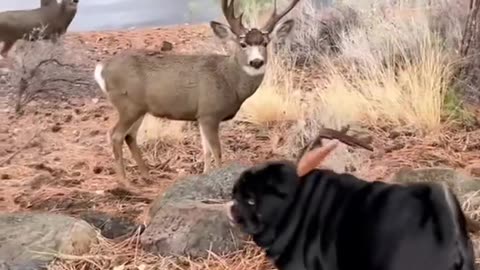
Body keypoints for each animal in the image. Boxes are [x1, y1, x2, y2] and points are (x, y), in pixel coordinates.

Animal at [94, 0, 300, 189]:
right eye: (242, 43)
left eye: (265, 43)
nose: (256, 62)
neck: (229, 80)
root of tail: (102, 69)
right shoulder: (210, 112)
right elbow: (216, 150)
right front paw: (219, 177)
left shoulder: (200, 116)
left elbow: (205, 150)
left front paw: (205, 175)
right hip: (128, 105)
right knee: (115, 135)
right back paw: (125, 183)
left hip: (139, 108)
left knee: (130, 136)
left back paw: (147, 176)